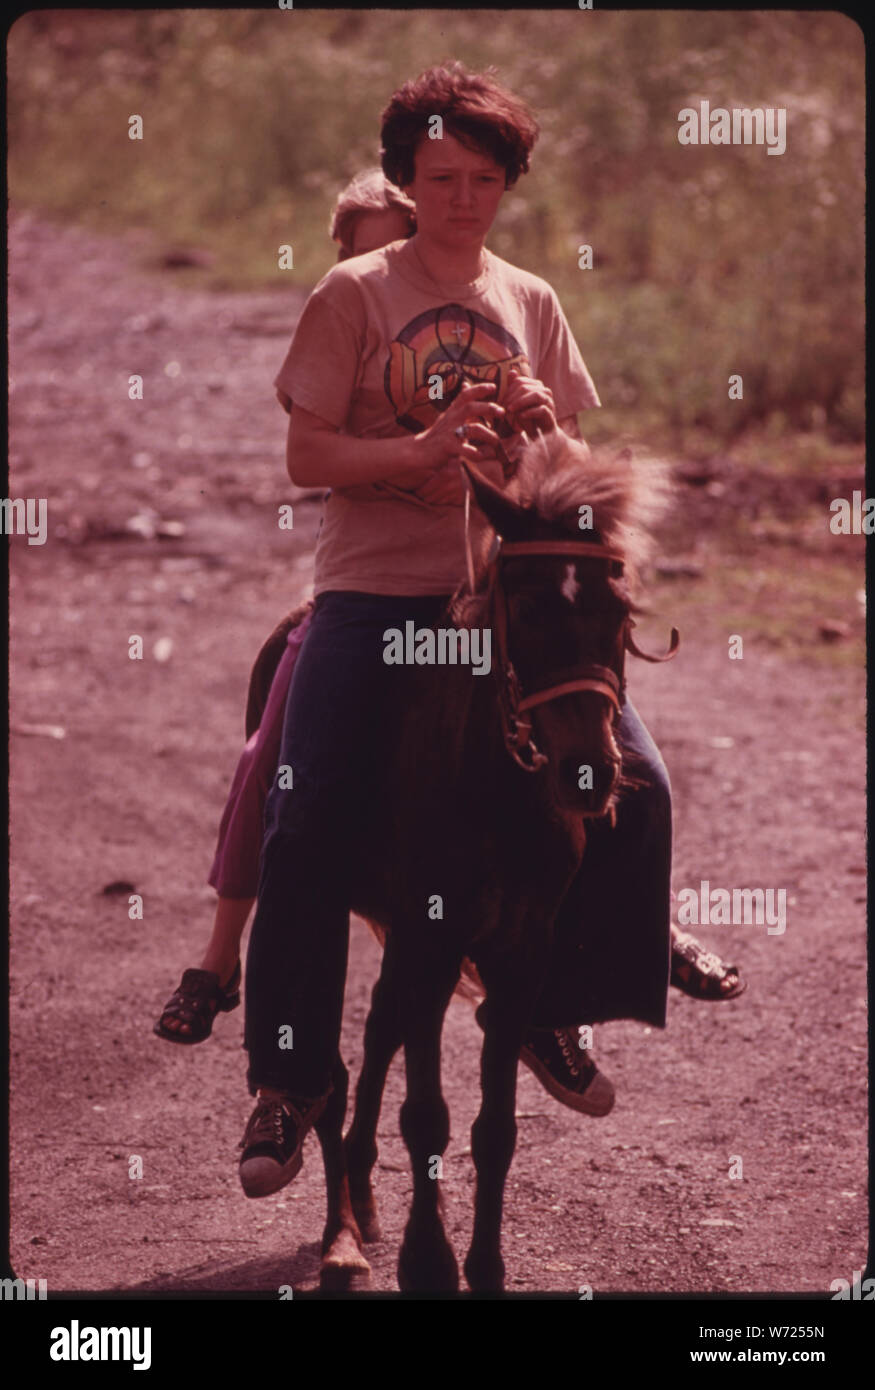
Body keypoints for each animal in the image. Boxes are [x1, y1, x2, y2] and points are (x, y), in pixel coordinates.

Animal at [246, 433, 676, 1289]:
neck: (490, 786)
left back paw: (362, 1194)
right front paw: (429, 1262)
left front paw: (483, 1265)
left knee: (375, 1031)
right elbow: (428, 1115)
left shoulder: (518, 952)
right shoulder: (432, 938)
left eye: (617, 612)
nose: (587, 773)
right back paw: (342, 1236)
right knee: (326, 1072)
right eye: (528, 608)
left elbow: (493, 1127)